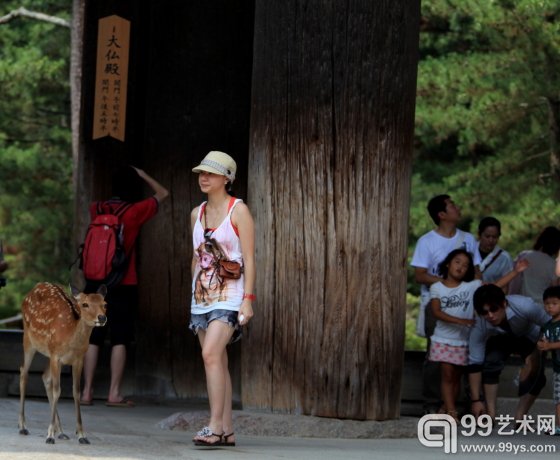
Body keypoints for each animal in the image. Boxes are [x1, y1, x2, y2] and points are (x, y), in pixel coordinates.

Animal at [18, 282, 107, 444]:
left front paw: (82, 435)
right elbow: (57, 390)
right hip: (28, 339)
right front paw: (49, 436)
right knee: (24, 372)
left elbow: (76, 392)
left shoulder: (78, 360)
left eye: (105, 304)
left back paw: (61, 432)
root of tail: (33, 289)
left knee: (45, 377)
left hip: (49, 353)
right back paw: (23, 426)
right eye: (85, 304)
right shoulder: (56, 356)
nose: (102, 317)